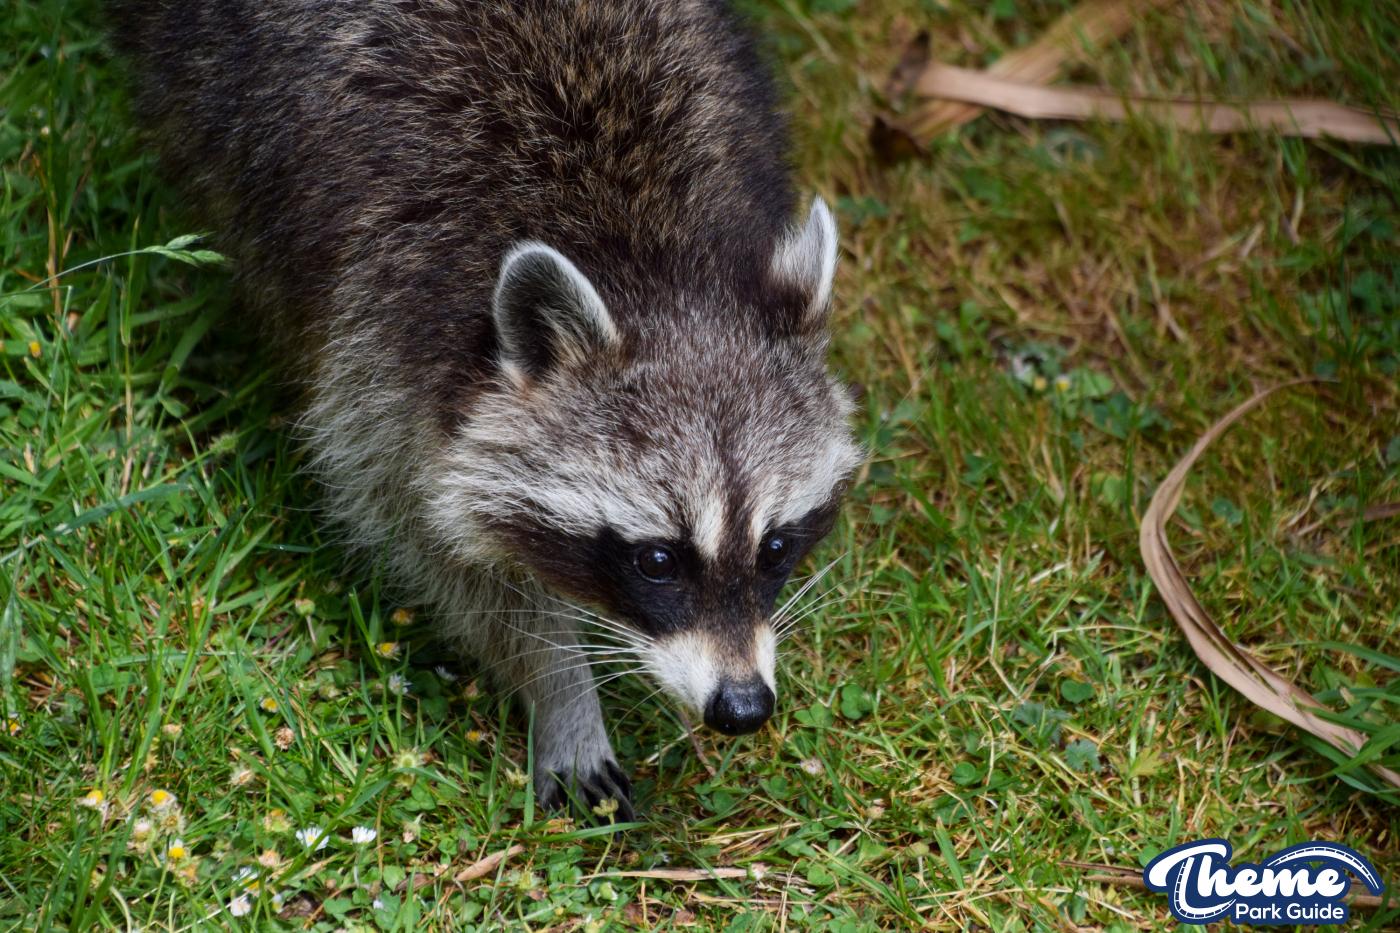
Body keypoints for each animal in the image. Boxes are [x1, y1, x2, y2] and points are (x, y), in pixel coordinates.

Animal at [110, 0, 862, 817]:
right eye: (658, 559)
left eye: (777, 547)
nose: (743, 706)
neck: (655, 262)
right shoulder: (381, 340)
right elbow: (436, 544)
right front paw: (561, 687)